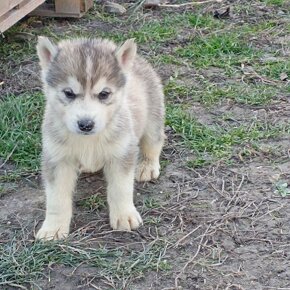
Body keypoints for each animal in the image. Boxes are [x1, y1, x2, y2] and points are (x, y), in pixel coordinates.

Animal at [35, 36, 164, 240]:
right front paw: (53, 228)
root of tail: (138, 61)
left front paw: (124, 215)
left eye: (104, 94)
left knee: (154, 142)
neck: (88, 140)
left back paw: (147, 165)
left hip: (152, 119)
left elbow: (121, 188)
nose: (86, 124)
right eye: (69, 93)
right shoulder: (57, 158)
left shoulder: (122, 152)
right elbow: (56, 198)